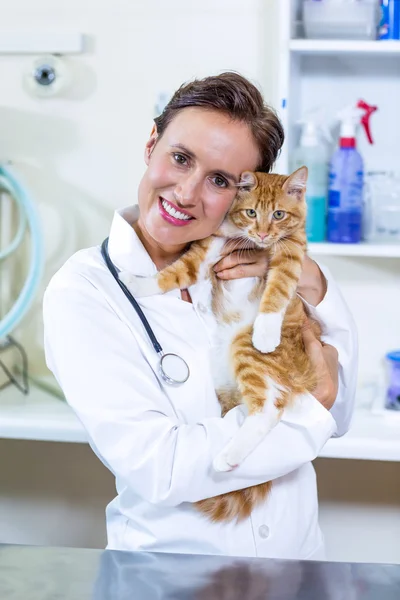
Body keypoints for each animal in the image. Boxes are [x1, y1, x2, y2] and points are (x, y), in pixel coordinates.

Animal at [119, 166, 322, 524]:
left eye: (279, 215)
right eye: (252, 212)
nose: (264, 235)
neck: (245, 237)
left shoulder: (291, 250)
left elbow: (279, 287)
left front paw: (266, 329)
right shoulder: (205, 251)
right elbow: (172, 274)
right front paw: (137, 282)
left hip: (245, 348)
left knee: (269, 409)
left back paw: (227, 456)